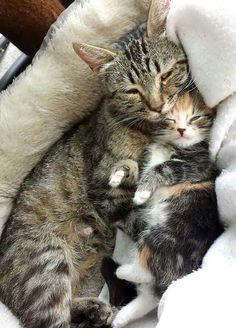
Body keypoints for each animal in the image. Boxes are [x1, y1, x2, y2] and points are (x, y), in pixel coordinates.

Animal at [0, 0, 190, 328]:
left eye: (164, 76)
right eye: (132, 91)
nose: (157, 106)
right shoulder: (105, 188)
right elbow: (137, 217)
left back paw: (94, 309)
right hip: (47, 264)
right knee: (52, 320)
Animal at [109, 90, 223, 328]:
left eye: (195, 117)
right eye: (170, 119)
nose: (181, 130)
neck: (170, 146)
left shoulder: (197, 165)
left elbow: (162, 168)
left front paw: (142, 193)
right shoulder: (147, 158)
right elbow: (136, 167)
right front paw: (118, 174)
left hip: (162, 235)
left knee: (147, 271)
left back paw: (122, 269)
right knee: (151, 294)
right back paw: (121, 317)